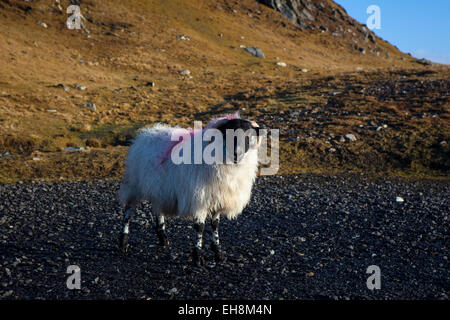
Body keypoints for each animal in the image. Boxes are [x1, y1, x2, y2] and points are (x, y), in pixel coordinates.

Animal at [118, 112, 262, 264]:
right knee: (128, 211)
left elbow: (215, 225)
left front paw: (218, 253)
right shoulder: (199, 199)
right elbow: (200, 227)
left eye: (248, 135)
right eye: (227, 133)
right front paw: (197, 256)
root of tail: (146, 133)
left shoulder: (217, 198)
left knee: (158, 209)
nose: (236, 154)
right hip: (134, 184)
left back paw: (162, 237)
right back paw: (123, 242)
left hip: (159, 189)